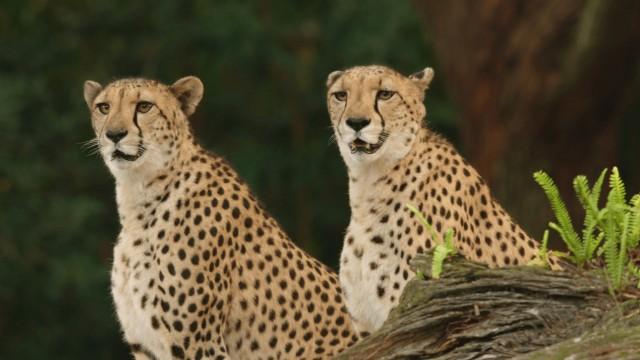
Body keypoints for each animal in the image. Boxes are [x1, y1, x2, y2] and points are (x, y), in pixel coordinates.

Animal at [82, 76, 358, 360]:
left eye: (144, 106)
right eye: (104, 107)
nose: (114, 135)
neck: (139, 196)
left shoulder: (201, 343)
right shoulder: (145, 346)